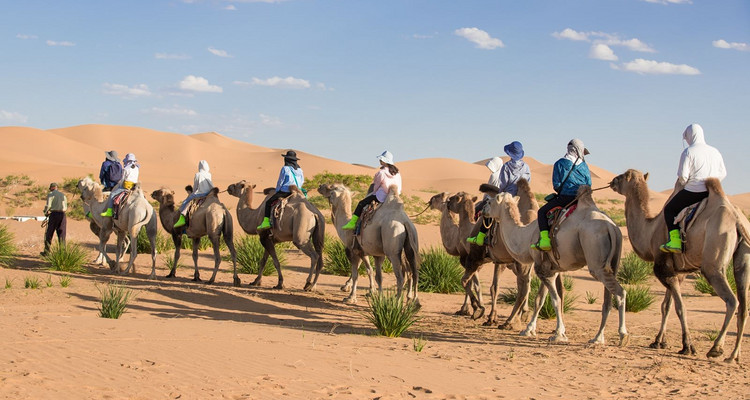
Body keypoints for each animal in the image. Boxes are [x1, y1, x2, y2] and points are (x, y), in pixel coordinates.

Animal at [612, 170, 750, 362]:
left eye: (623, 176)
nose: (612, 181)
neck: (650, 231)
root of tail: (737, 220)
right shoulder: (678, 272)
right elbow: (666, 306)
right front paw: (658, 341)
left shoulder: (663, 268)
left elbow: (680, 307)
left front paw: (687, 346)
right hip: (743, 258)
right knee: (744, 304)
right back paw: (734, 356)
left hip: (713, 263)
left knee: (732, 301)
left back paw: (716, 348)